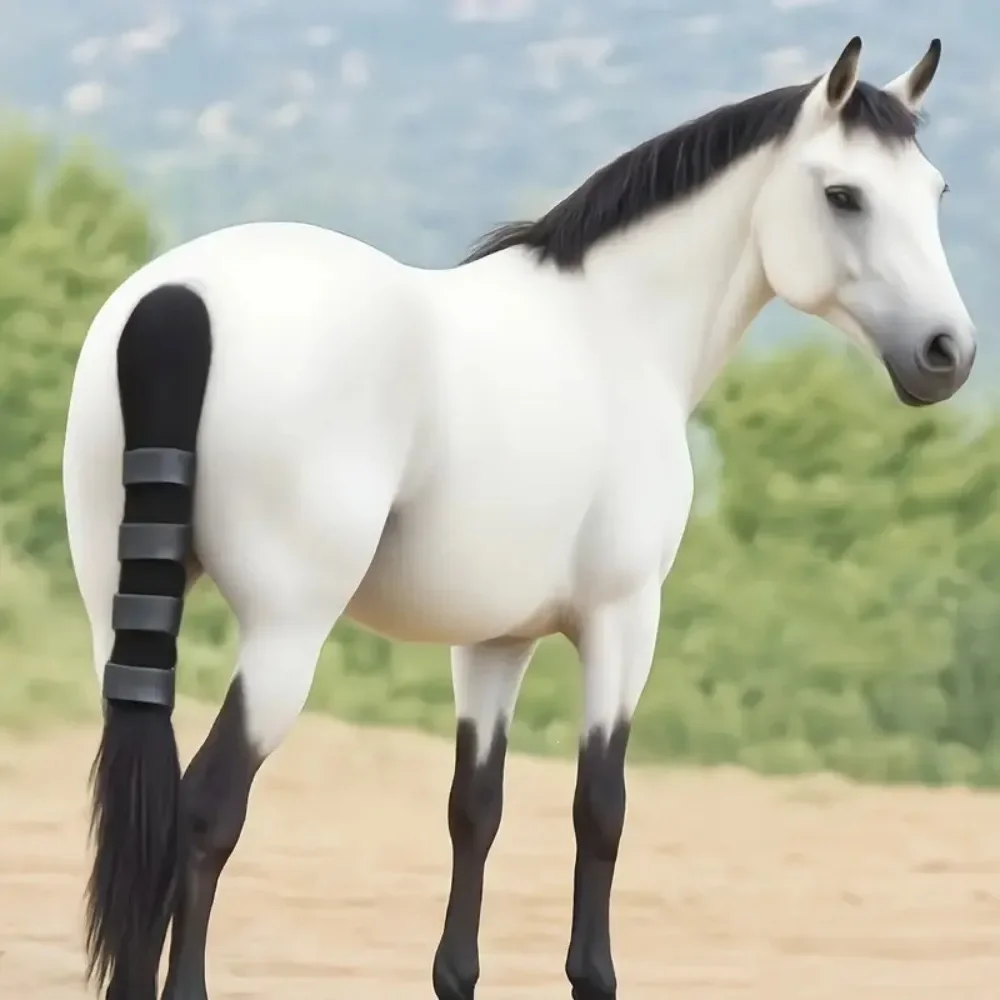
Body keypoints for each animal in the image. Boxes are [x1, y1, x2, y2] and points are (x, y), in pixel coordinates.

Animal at [62, 34, 972, 1000]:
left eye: (935, 191)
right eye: (844, 195)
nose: (947, 353)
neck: (616, 328)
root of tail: (177, 301)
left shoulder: (493, 643)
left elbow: (475, 809)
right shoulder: (623, 621)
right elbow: (599, 808)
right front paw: (593, 974)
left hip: (116, 617)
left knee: (141, 804)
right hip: (284, 634)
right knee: (205, 811)